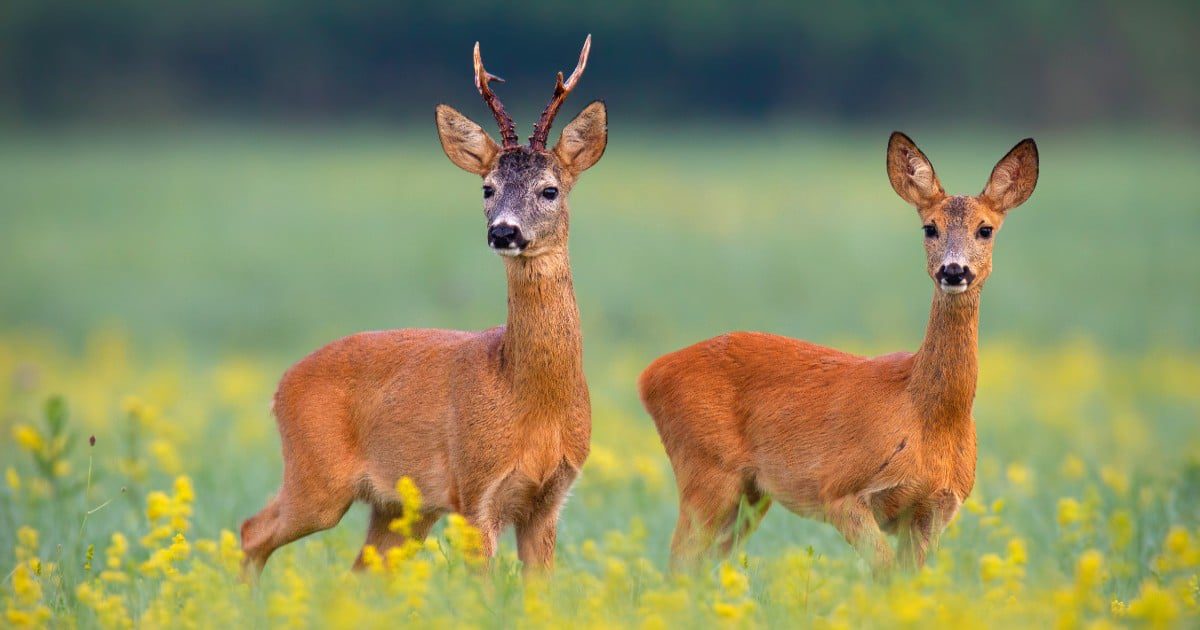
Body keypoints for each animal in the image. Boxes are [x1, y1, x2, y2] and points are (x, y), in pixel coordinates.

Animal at [240, 36, 607, 576]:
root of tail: (279, 388)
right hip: (317, 478)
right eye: (487, 188)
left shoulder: (550, 499)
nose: (503, 231)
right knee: (252, 531)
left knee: (358, 568)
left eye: (550, 189)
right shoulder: (474, 489)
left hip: (398, 507)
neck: (530, 399)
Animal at [638, 133, 1038, 577]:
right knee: (679, 560)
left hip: (750, 493)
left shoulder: (936, 508)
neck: (927, 416)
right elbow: (884, 573)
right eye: (929, 227)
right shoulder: (841, 490)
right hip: (707, 469)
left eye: (985, 229)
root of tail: (649, 375)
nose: (954, 271)